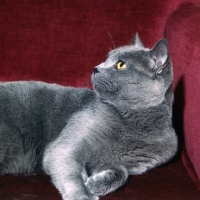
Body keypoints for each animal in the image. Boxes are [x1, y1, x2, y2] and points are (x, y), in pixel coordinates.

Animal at [0, 33, 178, 199]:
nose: (96, 68)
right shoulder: (64, 147)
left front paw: (94, 184)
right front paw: (83, 194)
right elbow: (72, 173)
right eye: (106, 58)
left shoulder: (126, 164)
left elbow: (123, 172)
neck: (134, 125)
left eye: (121, 64)